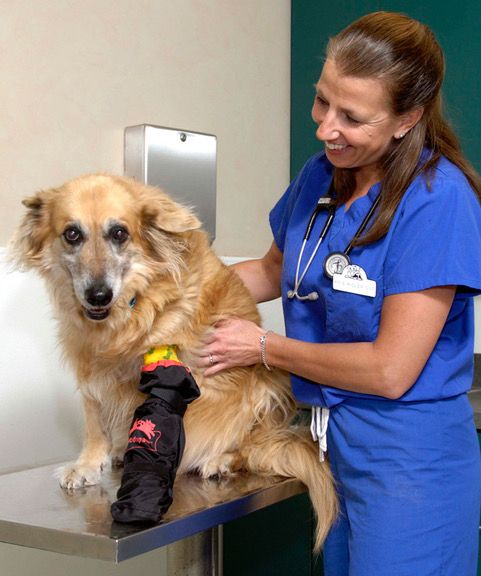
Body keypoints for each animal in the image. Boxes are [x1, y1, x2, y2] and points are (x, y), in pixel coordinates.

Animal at [10, 174, 334, 548]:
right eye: (71, 234)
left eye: (119, 232)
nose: (98, 295)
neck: (133, 307)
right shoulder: (90, 368)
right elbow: (94, 420)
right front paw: (88, 464)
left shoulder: (168, 373)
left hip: (266, 388)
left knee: (253, 448)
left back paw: (221, 458)